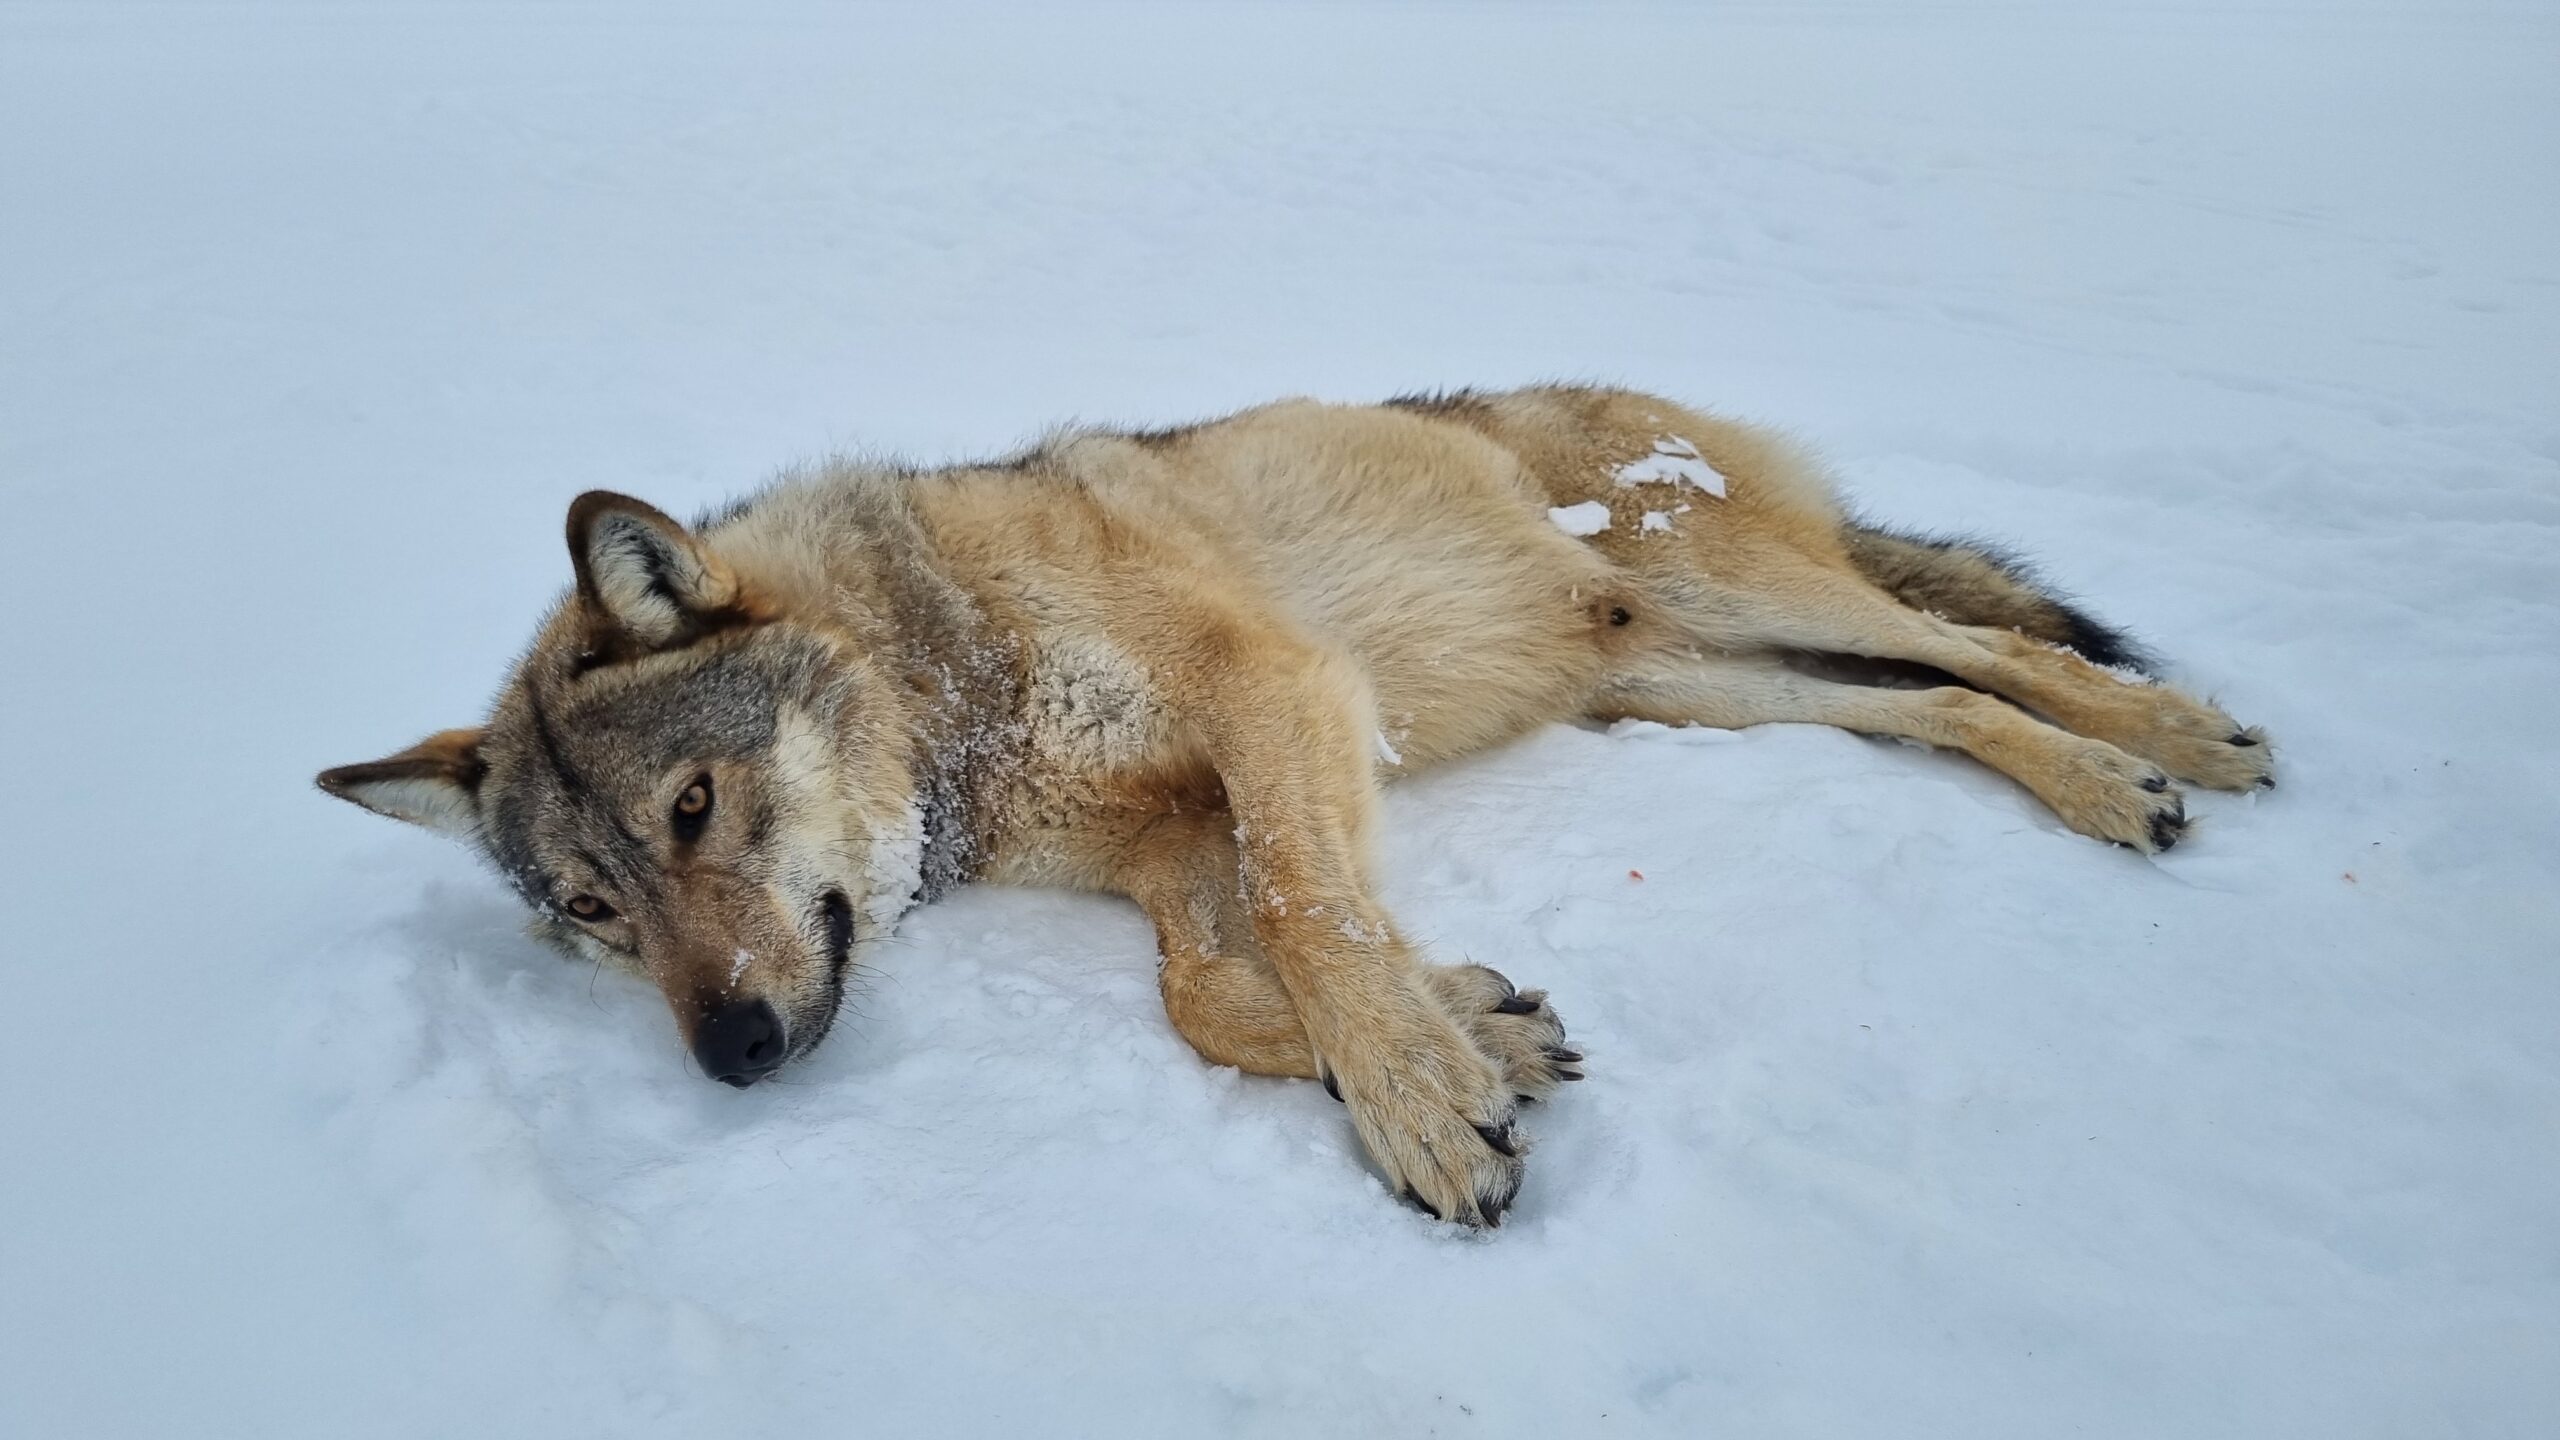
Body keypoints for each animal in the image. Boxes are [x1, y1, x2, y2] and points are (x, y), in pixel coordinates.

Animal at [319, 384, 2273, 1226]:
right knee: (1945, 702)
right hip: (1692, 681)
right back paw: (2108, 780)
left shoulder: (1278, 704)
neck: (954, 699)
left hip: (1737, 601)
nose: (726, 1057)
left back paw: (2170, 741)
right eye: (593, 915)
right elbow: (1212, 987)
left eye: (694, 809)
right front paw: (1477, 1031)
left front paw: (1414, 1100)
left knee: (1980, 645)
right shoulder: (1180, 835)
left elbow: (1317, 921)